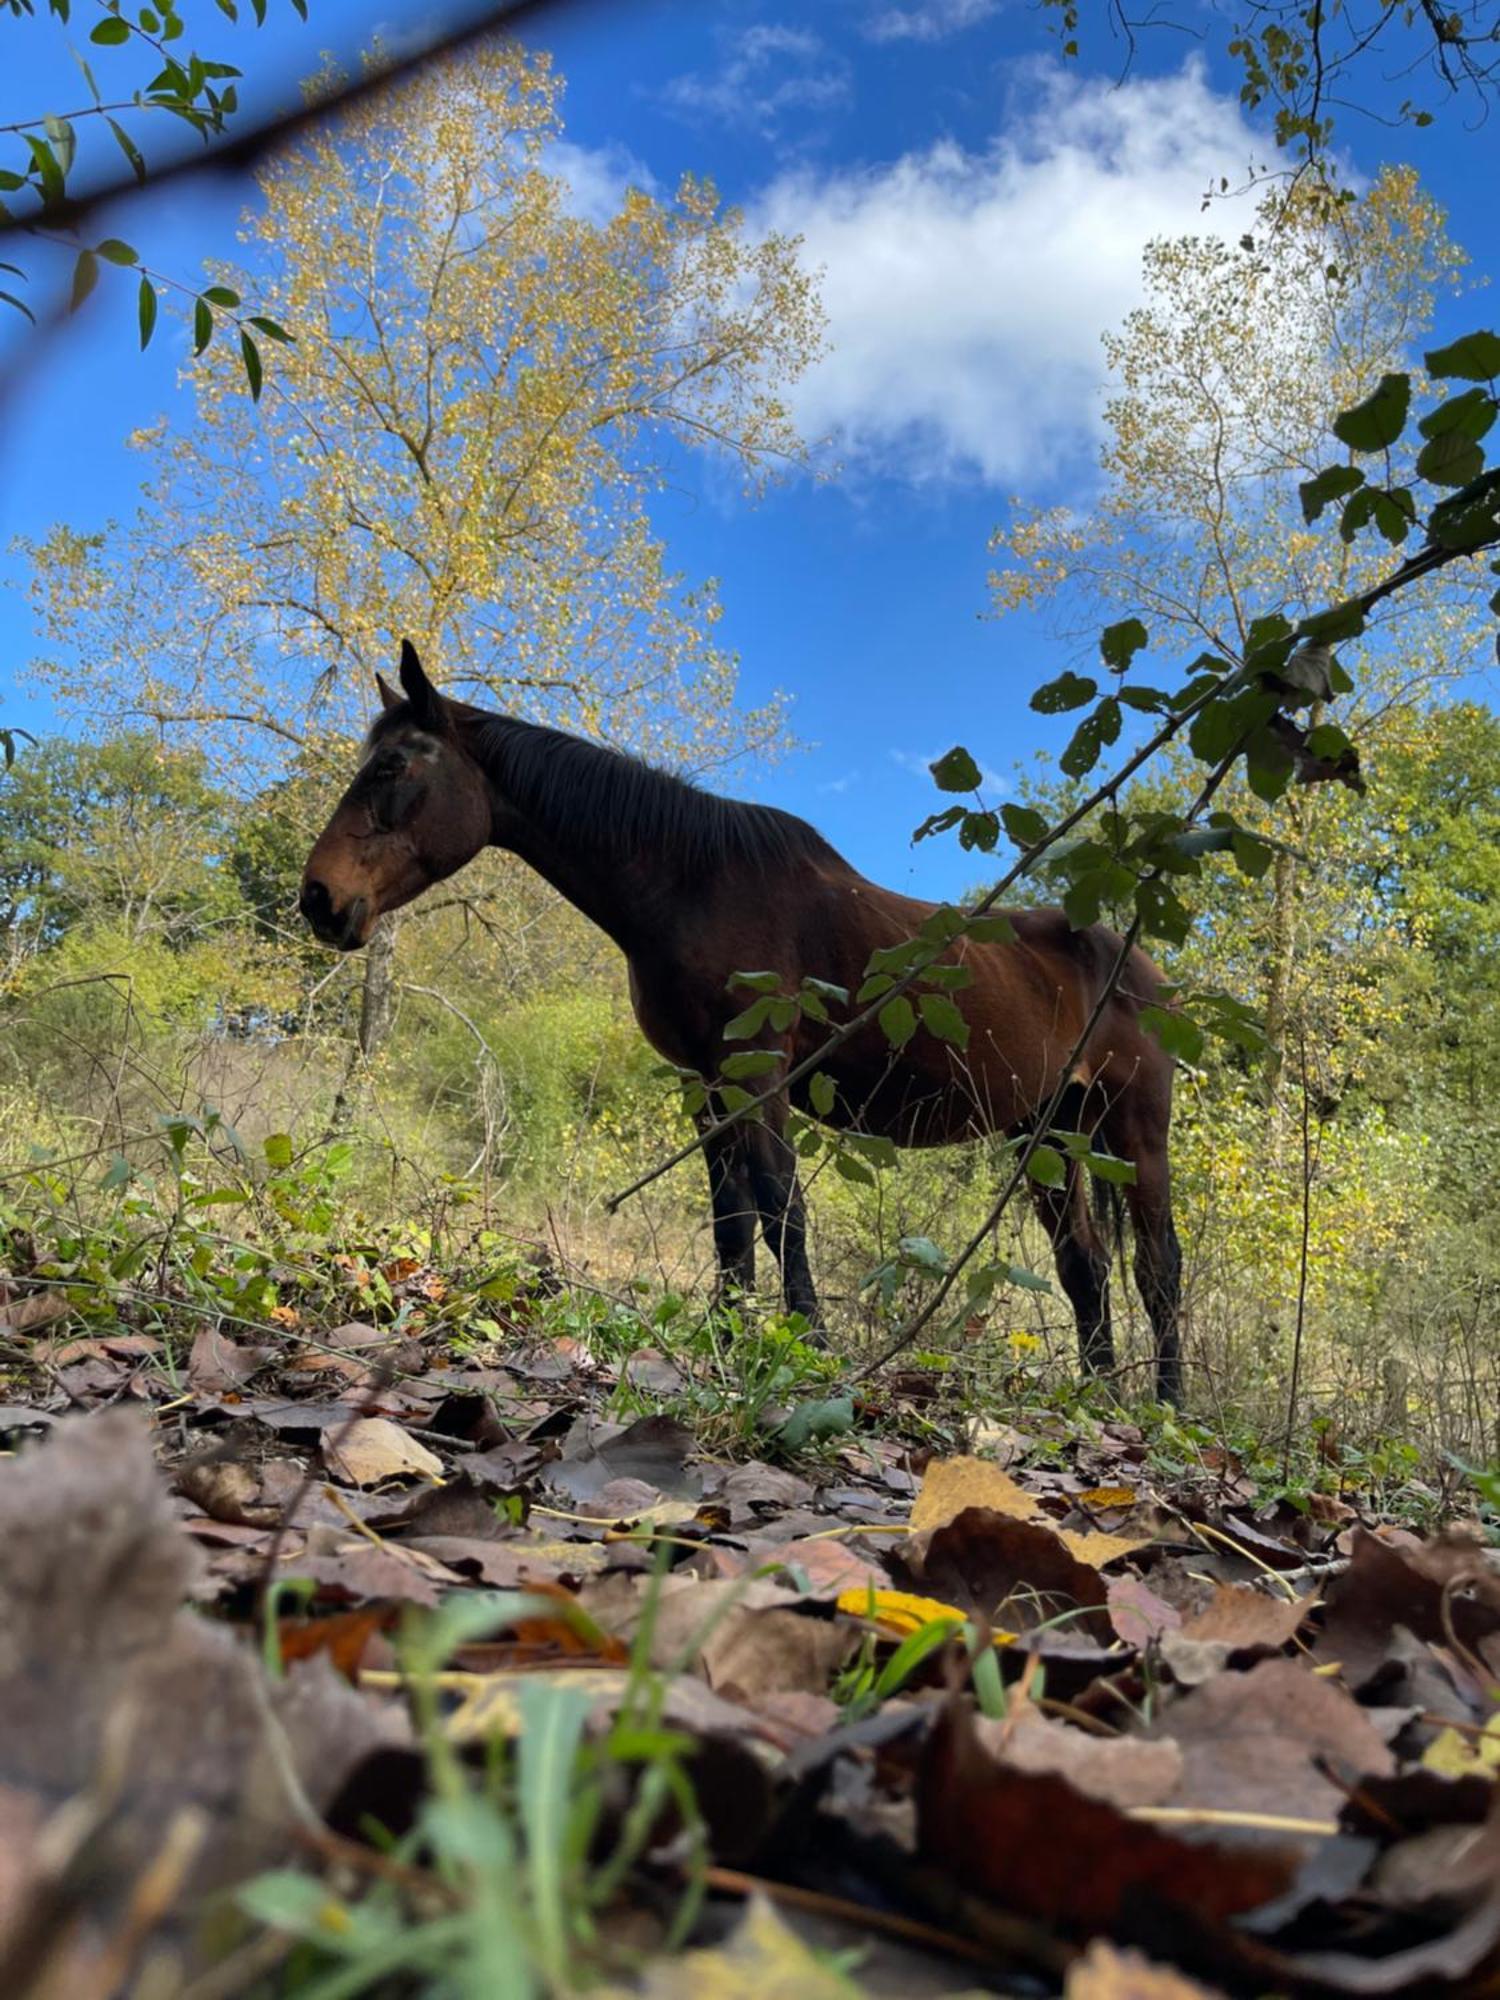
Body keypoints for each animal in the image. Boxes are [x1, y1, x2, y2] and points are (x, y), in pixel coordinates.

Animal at [302, 648, 1184, 1400]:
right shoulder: (707, 1083)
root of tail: (1139, 965)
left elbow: (779, 1206)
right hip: (1050, 1132)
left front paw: (807, 1346)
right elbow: (731, 1219)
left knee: (1158, 1268)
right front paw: (725, 1344)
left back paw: (1168, 1405)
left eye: (391, 767)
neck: (695, 883)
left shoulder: (759, 1072)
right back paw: (1099, 1395)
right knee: (1084, 1266)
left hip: (1134, 1129)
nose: (319, 898)